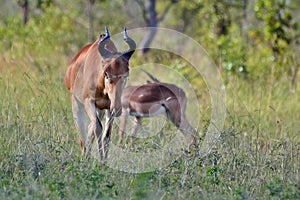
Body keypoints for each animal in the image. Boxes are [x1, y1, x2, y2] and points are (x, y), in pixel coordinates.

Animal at [66, 27, 137, 161]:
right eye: (107, 74)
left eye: (126, 75)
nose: (117, 109)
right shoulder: (88, 101)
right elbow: (98, 129)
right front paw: (100, 160)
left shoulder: (108, 107)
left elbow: (106, 134)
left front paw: (104, 161)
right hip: (76, 103)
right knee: (82, 131)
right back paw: (84, 156)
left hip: (101, 110)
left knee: (90, 129)